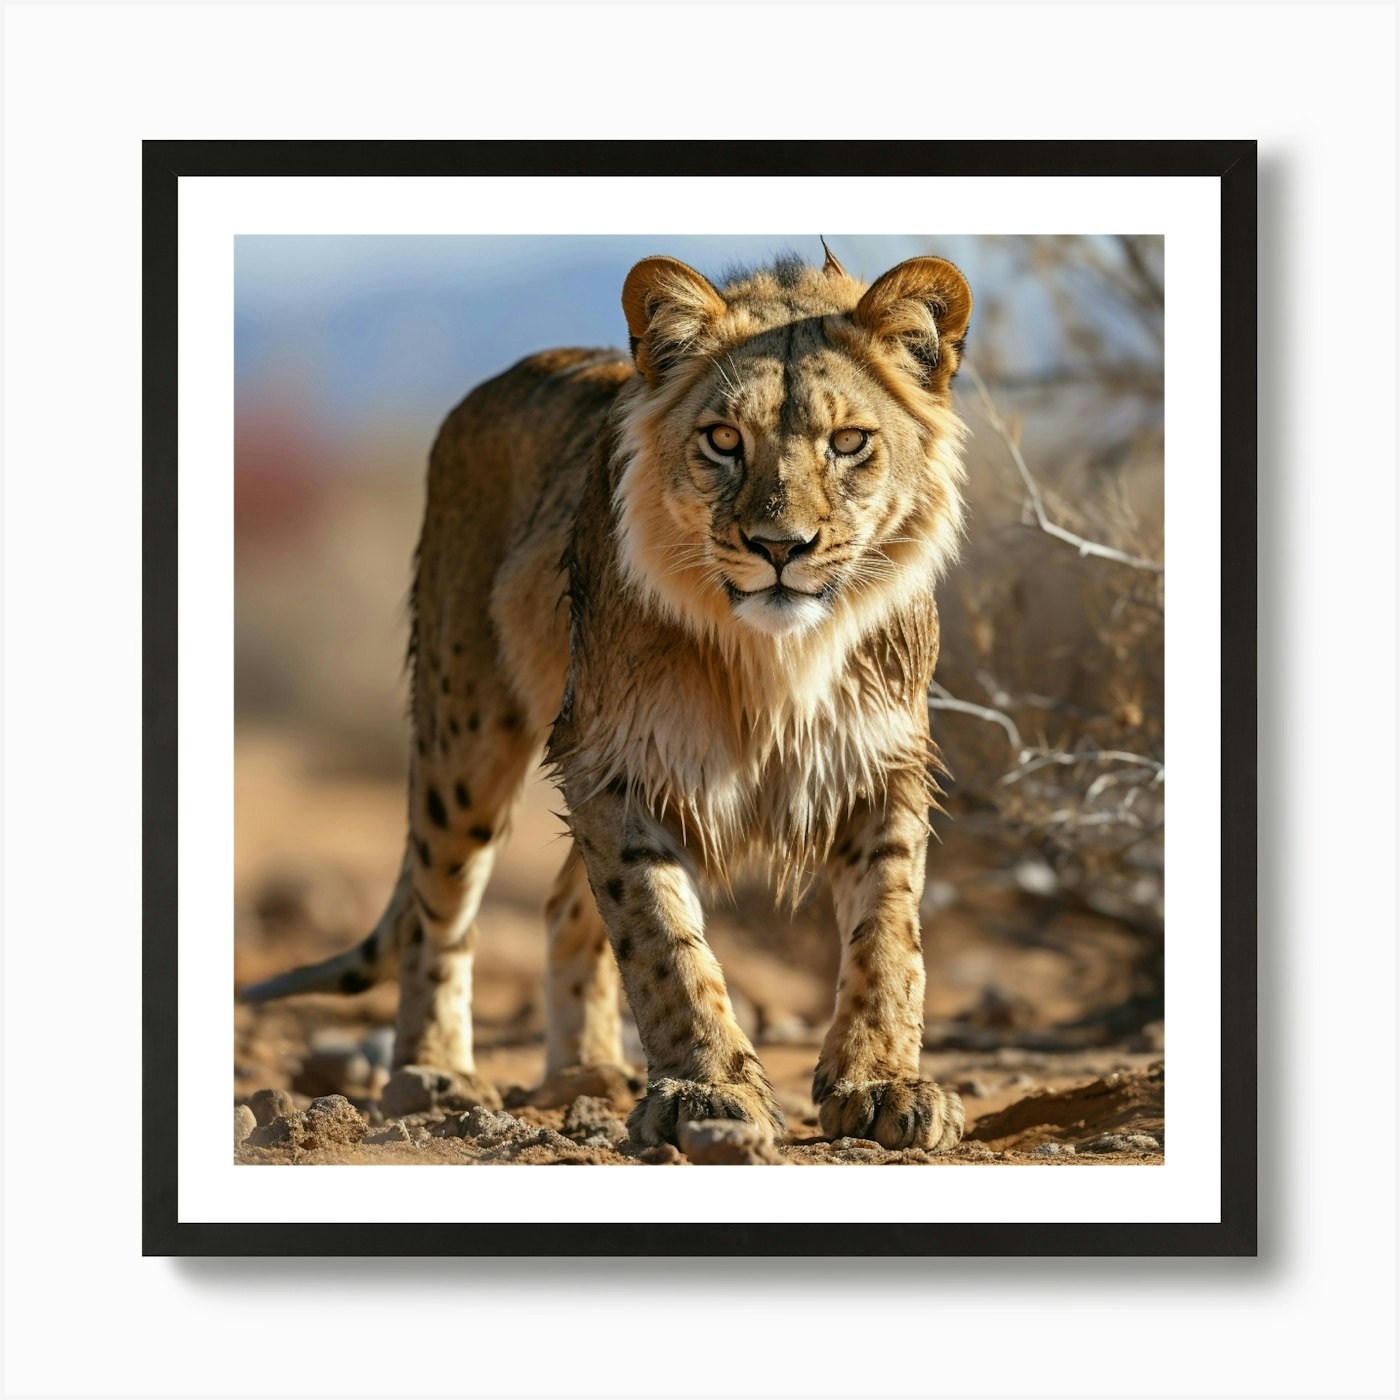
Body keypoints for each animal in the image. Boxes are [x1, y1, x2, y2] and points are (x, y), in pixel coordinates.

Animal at [241, 244, 973, 1151]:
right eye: (723, 440)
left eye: (849, 443)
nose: (781, 547)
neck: (777, 659)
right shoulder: (616, 760)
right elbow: (662, 943)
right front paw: (707, 1094)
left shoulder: (879, 758)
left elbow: (888, 932)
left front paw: (881, 1085)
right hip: (468, 731)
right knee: (436, 908)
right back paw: (436, 1074)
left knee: (561, 901)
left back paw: (585, 1072)